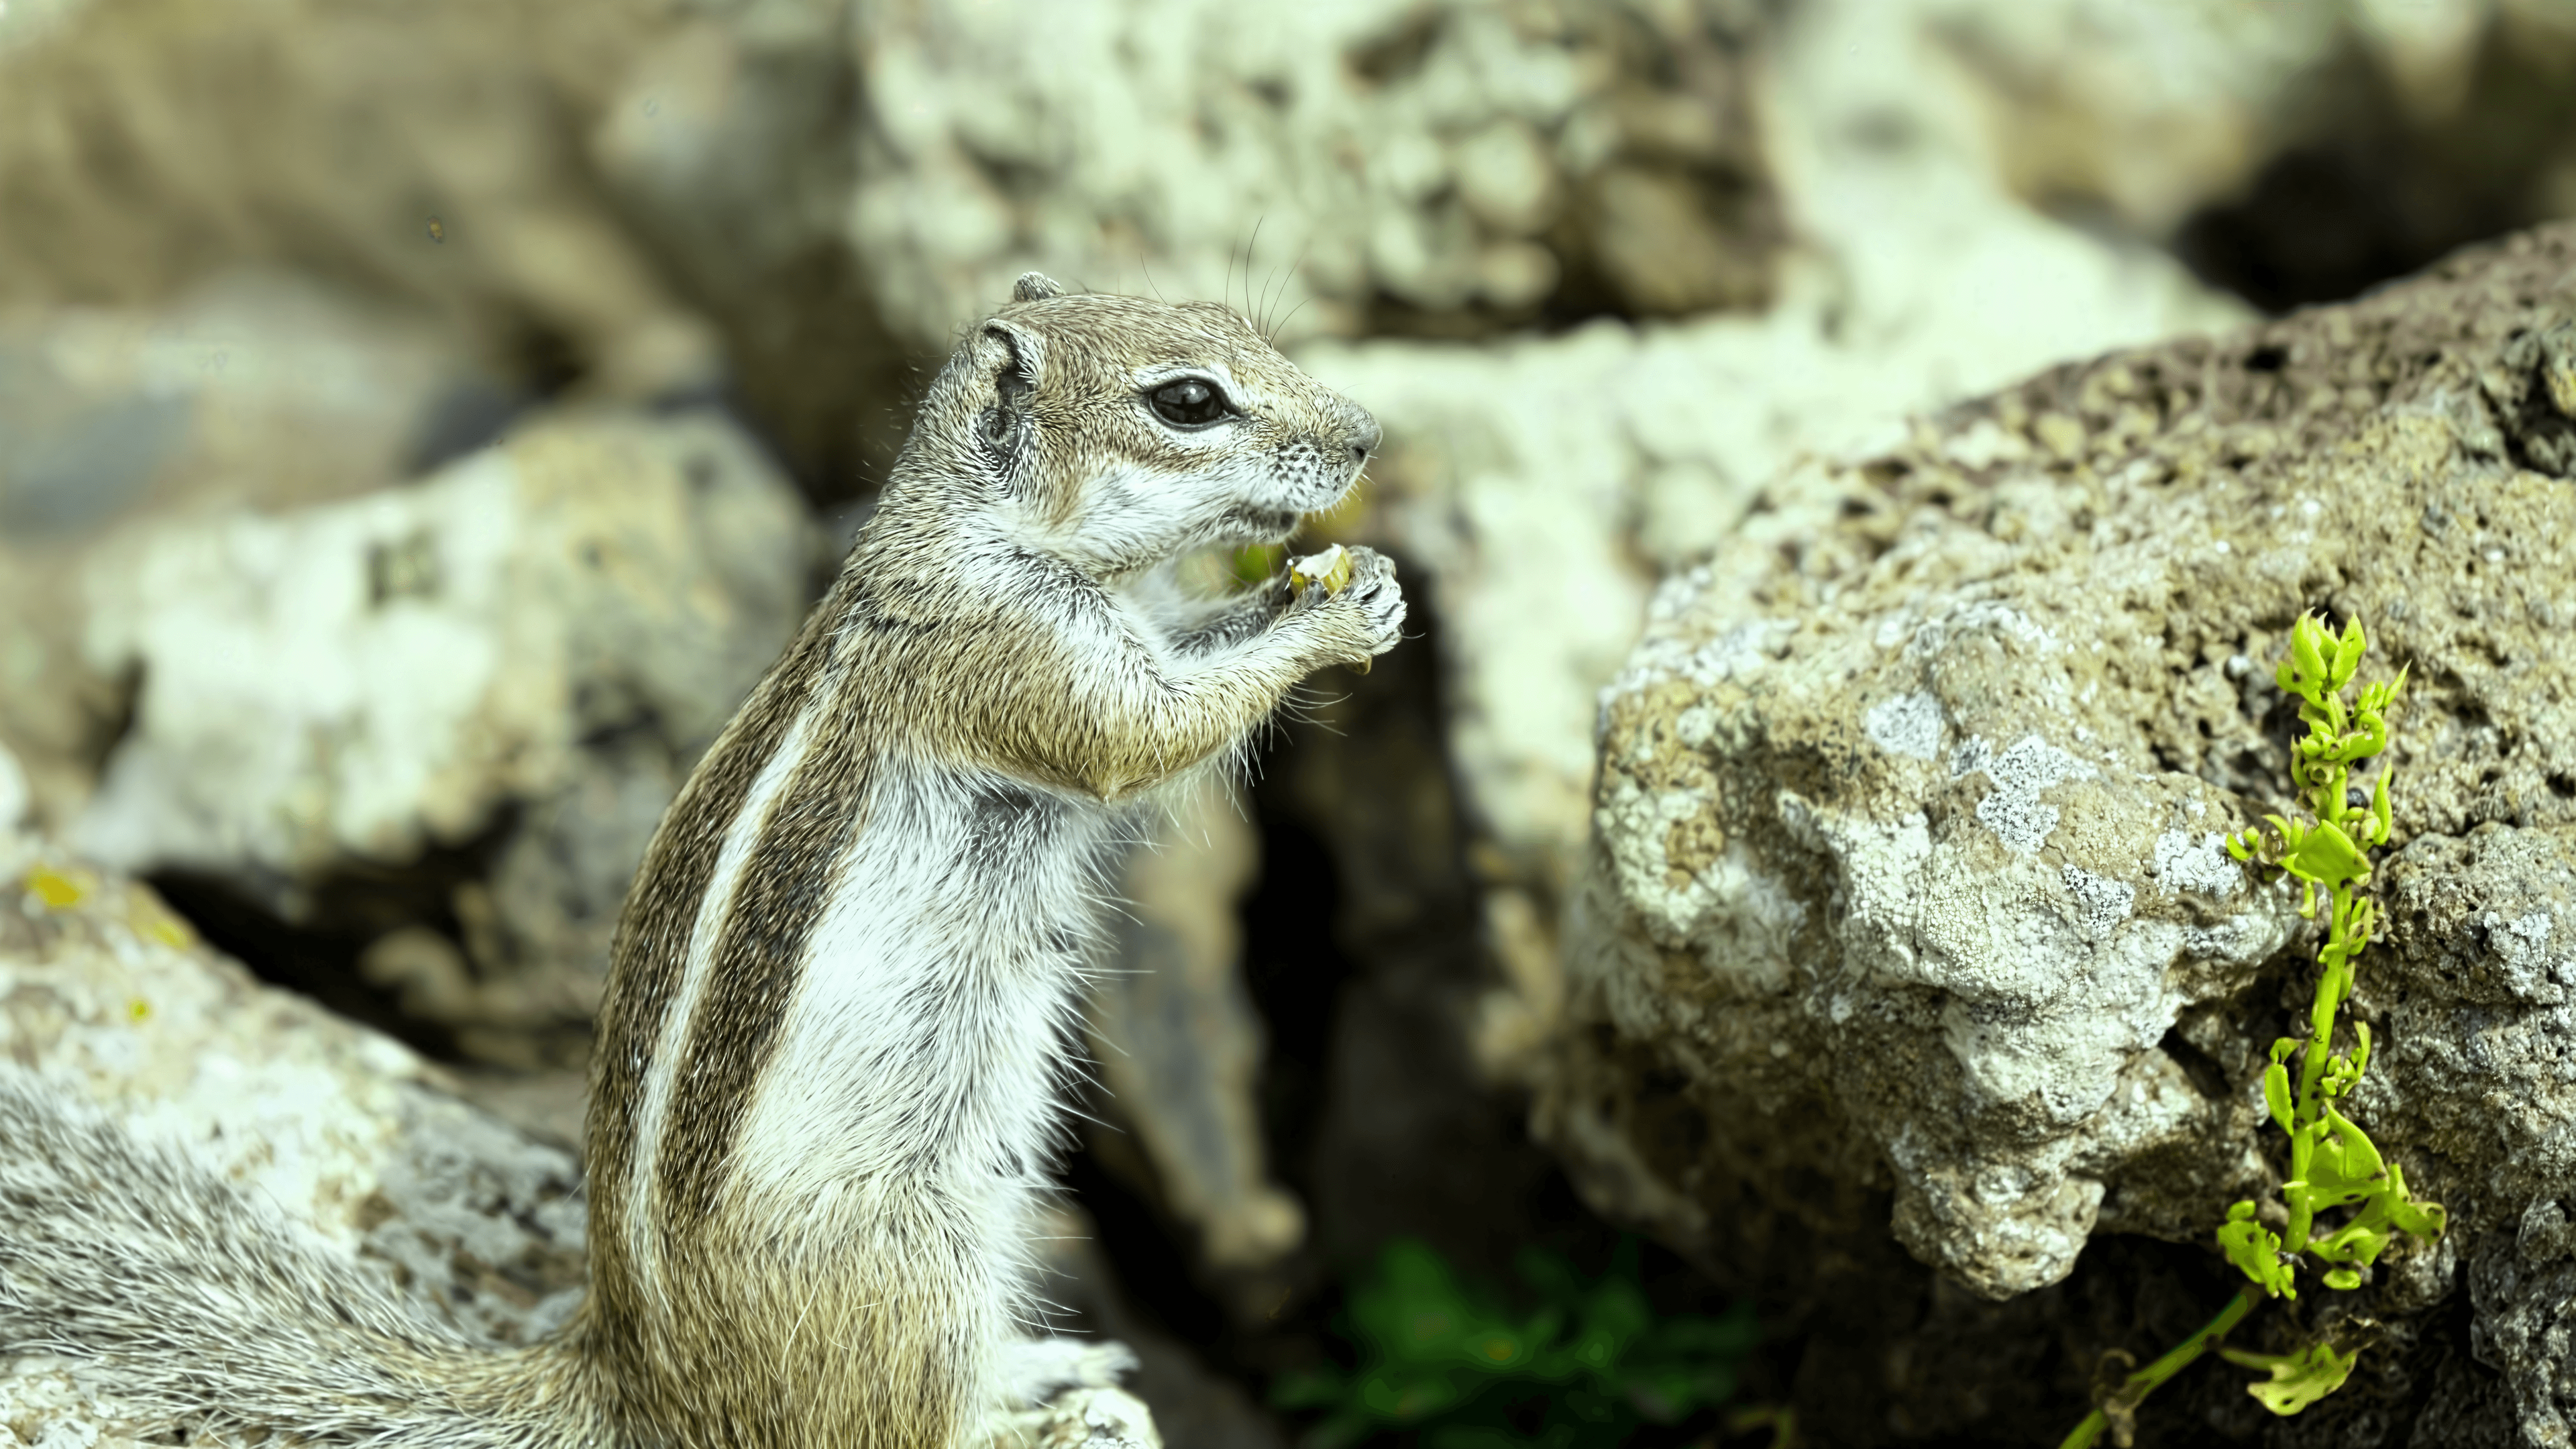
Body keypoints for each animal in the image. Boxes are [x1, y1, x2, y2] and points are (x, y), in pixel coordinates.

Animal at [0, 272, 1405, 1447]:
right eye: (1188, 401)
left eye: (1244, 324)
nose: (1368, 438)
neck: (980, 532)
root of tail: (638, 1384)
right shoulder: (1010, 655)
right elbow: (1141, 736)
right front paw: (1333, 617)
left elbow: (1186, 666)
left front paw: (1350, 583)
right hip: (922, 1256)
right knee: (881, 1423)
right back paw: (1008, 1417)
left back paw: (1040, 1367)